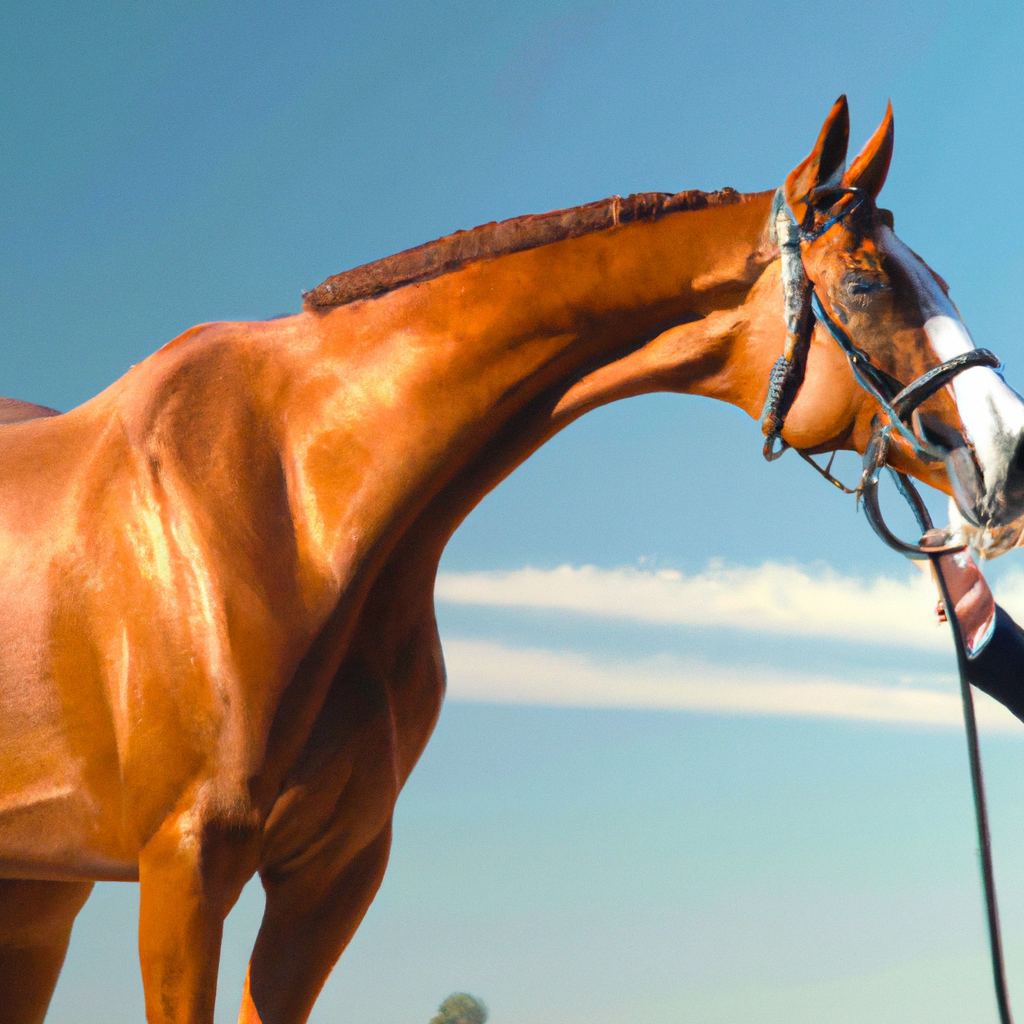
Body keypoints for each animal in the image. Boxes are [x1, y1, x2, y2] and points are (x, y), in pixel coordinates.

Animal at [2, 97, 1024, 1024]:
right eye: (865, 285)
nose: (1008, 455)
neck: (300, 503)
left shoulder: (331, 873)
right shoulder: (187, 867)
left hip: (41, 898)